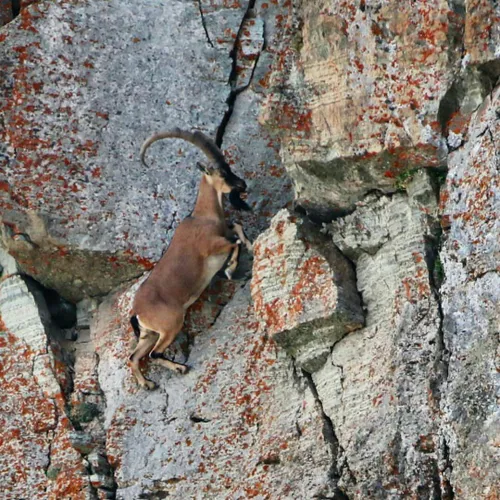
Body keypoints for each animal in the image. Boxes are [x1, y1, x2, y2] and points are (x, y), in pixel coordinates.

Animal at [129, 127, 252, 388]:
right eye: (222, 172)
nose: (242, 183)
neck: (203, 217)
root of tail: (137, 311)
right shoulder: (212, 246)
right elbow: (234, 242)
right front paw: (231, 268)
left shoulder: (224, 231)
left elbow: (236, 226)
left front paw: (245, 248)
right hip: (171, 324)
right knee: (154, 354)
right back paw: (180, 368)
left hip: (148, 334)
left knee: (134, 357)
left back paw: (147, 384)